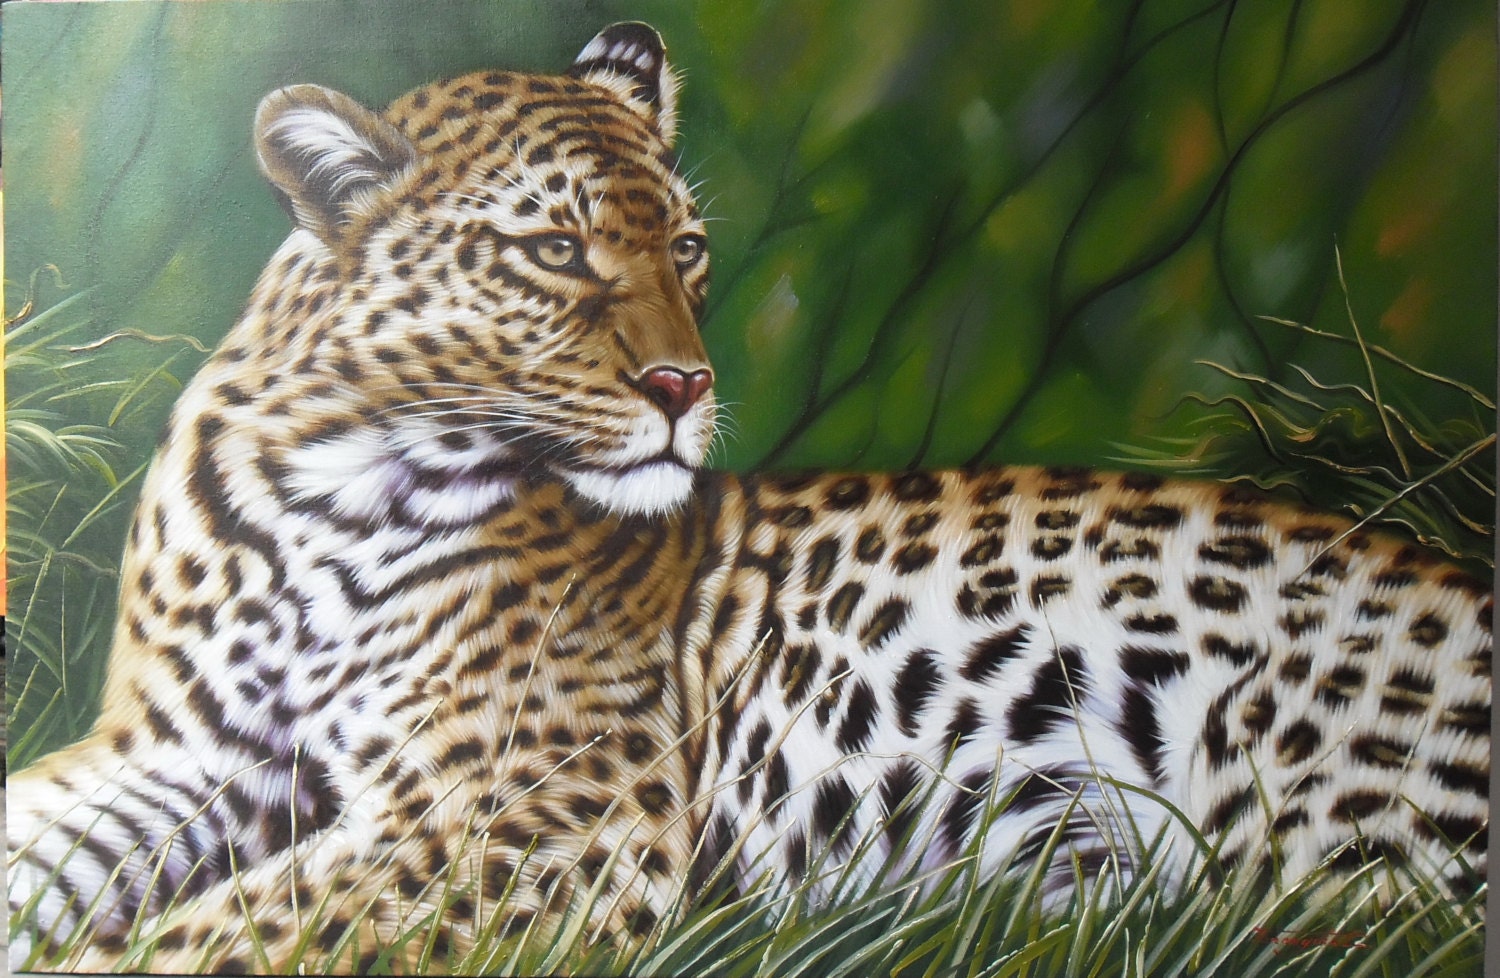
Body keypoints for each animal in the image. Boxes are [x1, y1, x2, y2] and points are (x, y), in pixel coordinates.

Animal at [7, 21, 1490, 975]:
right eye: (555, 251)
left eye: (688, 245)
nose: (684, 383)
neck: (335, 484)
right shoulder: (178, 755)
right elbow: (48, 843)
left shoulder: (523, 810)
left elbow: (219, 935)